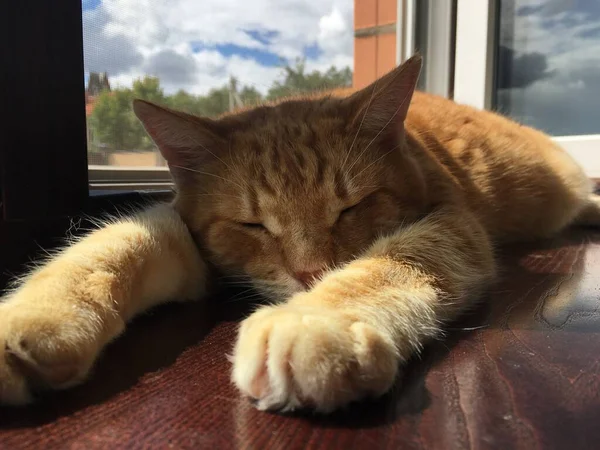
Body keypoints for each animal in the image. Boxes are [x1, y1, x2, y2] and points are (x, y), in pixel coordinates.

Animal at [1, 55, 600, 412]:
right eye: (252, 225)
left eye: (350, 207)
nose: (311, 273)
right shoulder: (187, 239)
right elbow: (113, 245)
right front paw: (36, 317)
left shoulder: (452, 224)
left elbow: (393, 260)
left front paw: (314, 321)